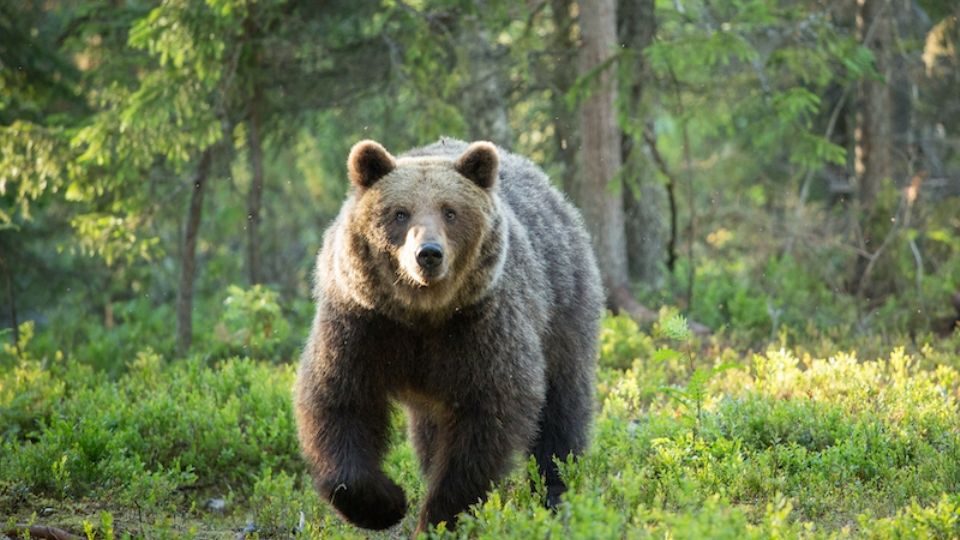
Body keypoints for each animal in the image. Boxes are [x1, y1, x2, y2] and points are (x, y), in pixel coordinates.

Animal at [296, 137, 604, 532]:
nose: (428, 254)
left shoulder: (480, 327)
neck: (422, 314)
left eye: (450, 211)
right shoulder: (362, 324)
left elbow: (486, 419)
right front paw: (386, 502)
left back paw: (557, 491)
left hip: (562, 308)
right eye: (400, 213)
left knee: (562, 408)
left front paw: (440, 516)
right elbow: (339, 401)